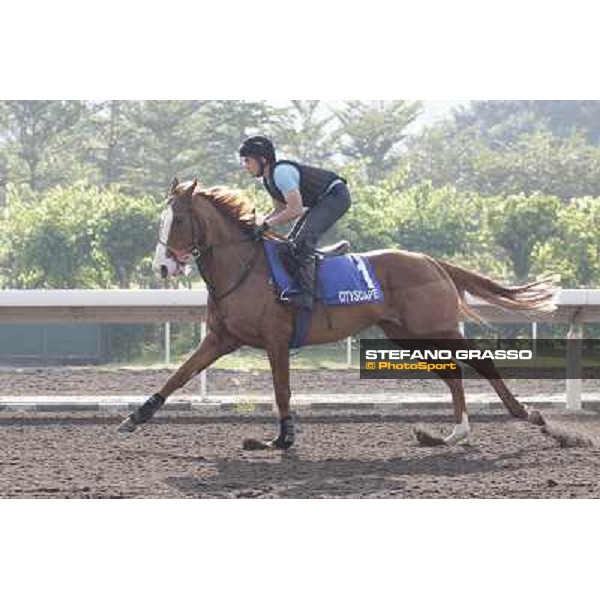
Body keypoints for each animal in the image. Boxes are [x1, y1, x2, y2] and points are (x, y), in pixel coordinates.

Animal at [118, 180, 556, 448]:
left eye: (177, 219)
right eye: (161, 220)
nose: (162, 267)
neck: (244, 266)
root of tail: (431, 261)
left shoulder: (276, 341)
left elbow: (281, 391)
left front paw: (281, 439)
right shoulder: (221, 338)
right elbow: (180, 374)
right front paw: (134, 418)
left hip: (437, 327)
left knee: (479, 362)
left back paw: (527, 415)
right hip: (407, 334)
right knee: (452, 374)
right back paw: (452, 434)